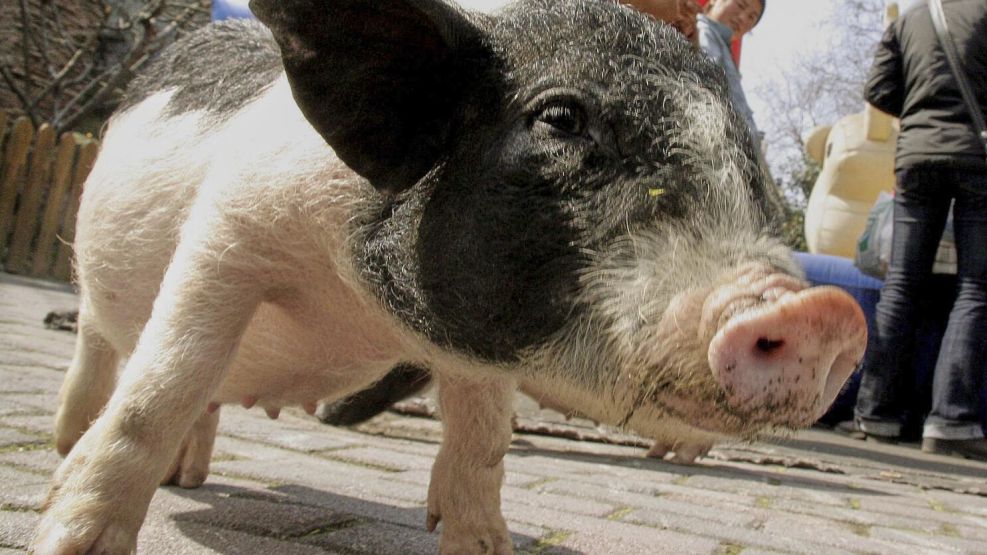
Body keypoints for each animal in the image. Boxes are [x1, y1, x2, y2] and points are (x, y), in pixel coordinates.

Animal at [33, 0, 867, 553]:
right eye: (559, 118)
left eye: (746, 156)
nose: (820, 312)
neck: (358, 304)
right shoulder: (227, 232)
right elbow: (161, 387)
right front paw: (69, 540)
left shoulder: (483, 341)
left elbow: (483, 439)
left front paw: (481, 543)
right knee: (107, 351)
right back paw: (69, 446)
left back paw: (190, 479)